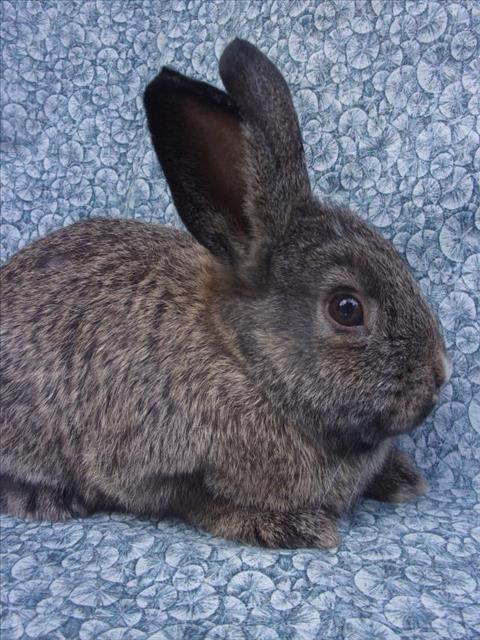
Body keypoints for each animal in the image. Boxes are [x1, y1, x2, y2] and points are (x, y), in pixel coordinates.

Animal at [0, 39, 451, 549]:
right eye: (347, 308)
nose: (441, 373)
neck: (244, 358)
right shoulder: (152, 468)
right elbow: (199, 503)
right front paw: (291, 527)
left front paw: (400, 478)